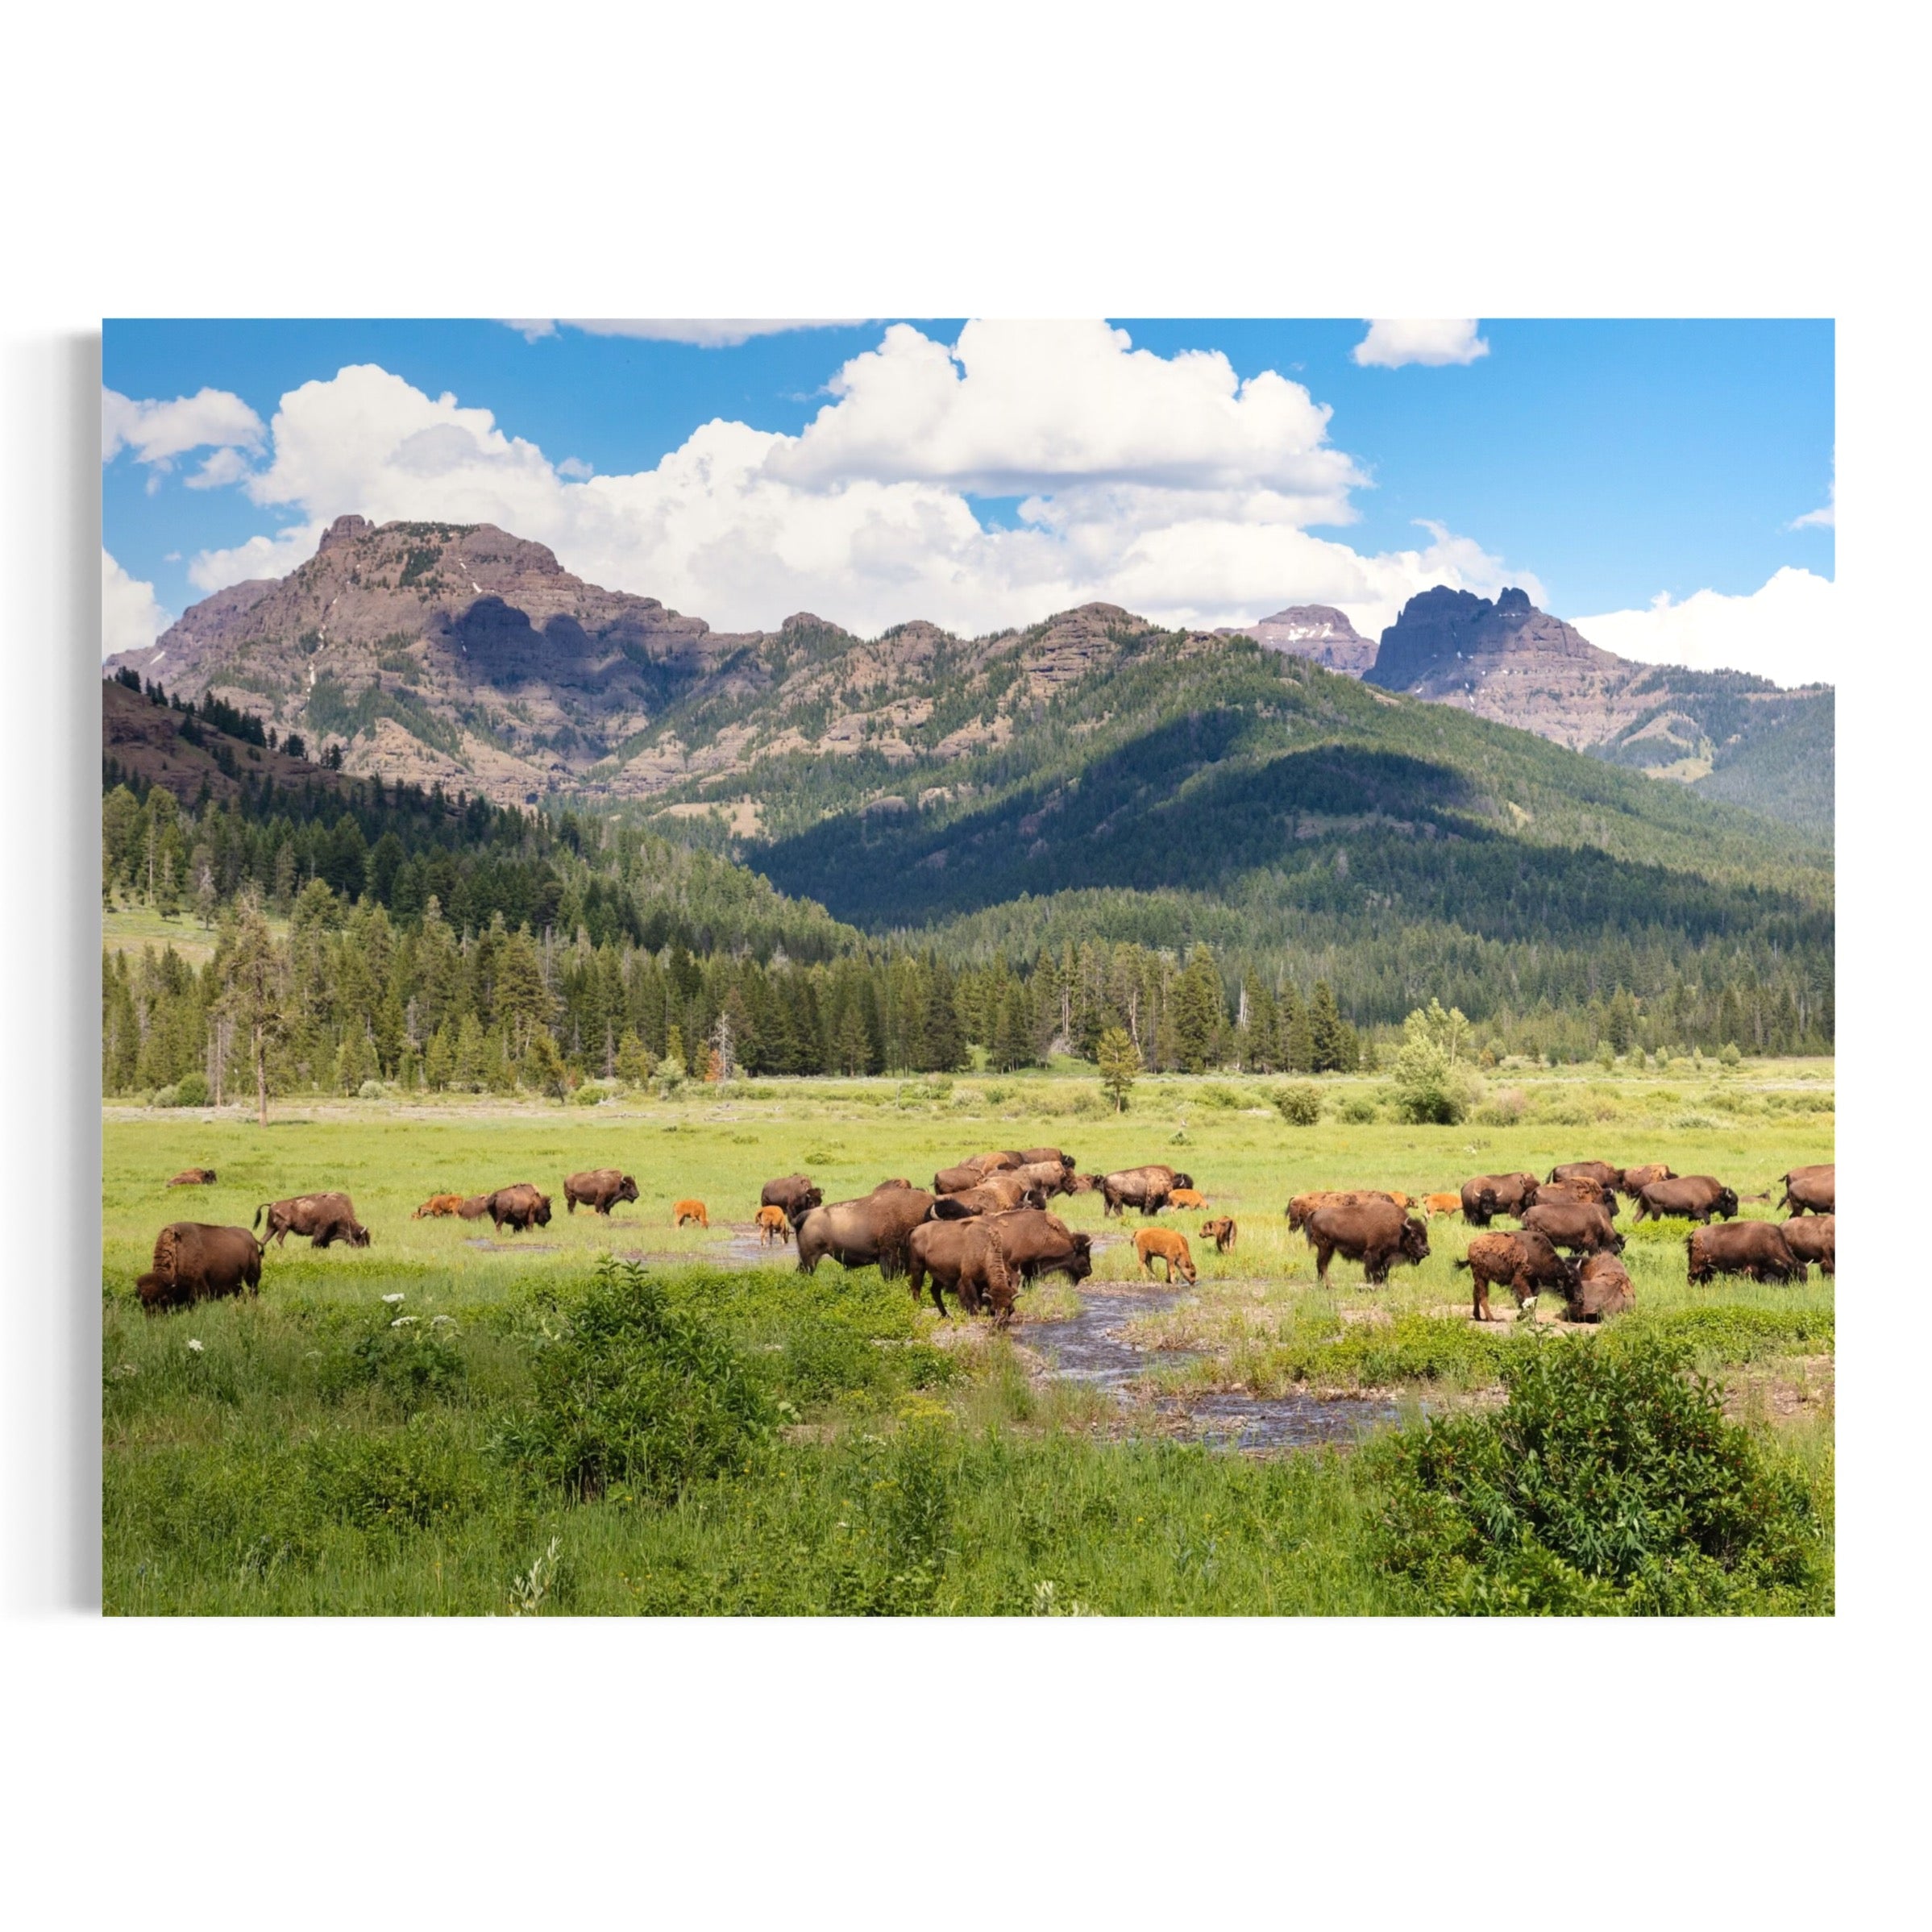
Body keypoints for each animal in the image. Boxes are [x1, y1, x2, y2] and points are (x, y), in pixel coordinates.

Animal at [136, 1222, 263, 1312]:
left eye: (163, 1299)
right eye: (143, 1302)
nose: (153, 1318)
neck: (179, 1252)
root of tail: (251, 1236)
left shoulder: (199, 1289)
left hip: (252, 1276)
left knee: (253, 1290)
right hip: (236, 1282)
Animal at [254, 1192, 370, 1249]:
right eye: (362, 1238)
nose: (365, 1248)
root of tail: (272, 1204)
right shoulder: (321, 1229)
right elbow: (316, 1240)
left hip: (271, 1228)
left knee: (264, 1239)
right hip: (284, 1227)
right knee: (279, 1238)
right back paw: (284, 1249)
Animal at [1303, 1198, 1430, 1286]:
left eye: (1425, 1235)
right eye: (1413, 1236)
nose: (1427, 1251)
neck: (1400, 1230)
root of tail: (1315, 1213)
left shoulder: (1385, 1258)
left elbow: (1384, 1272)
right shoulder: (1373, 1253)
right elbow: (1373, 1272)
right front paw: (1375, 1285)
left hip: (1327, 1249)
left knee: (1320, 1265)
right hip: (1326, 1247)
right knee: (1323, 1265)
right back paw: (1329, 1286)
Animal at [1634, 1175, 1739, 1224]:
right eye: (1731, 1202)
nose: (1735, 1213)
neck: (1711, 1191)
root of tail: (1643, 1188)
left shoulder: (1692, 1215)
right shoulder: (1699, 1211)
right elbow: (1707, 1220)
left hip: (1643, 1208)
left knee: (1636, 1219)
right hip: (1657, 1210)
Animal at [1687, 1220, 1807, 1285]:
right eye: (1795, 1275)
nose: (1801, 1287)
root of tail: (1694, 1234)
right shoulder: (1752, 1268)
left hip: (1707, 1269)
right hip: (1697, 1266)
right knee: (1691, 1278)